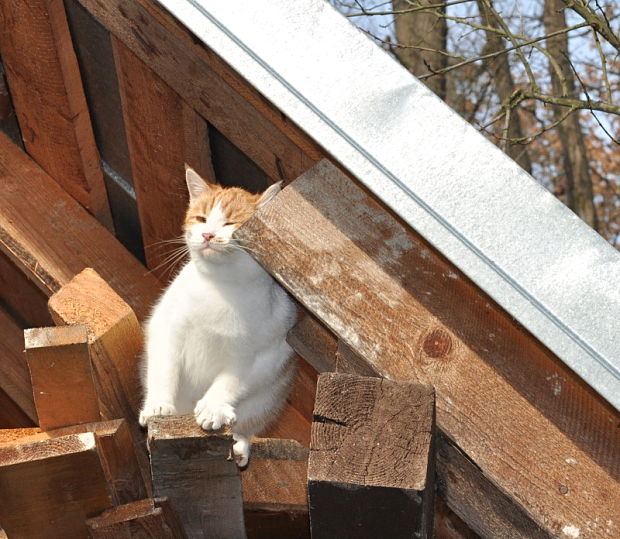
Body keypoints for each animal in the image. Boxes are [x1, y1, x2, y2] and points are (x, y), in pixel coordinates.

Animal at [140, 167, 296, 466]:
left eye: (231, 223)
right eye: (201, 218)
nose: (208, 235)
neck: (221, 288)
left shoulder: (270, 351)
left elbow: (233, 379)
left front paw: (213, 407)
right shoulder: (167, 323)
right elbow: (164, 364)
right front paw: (159, 404)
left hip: (269, 399)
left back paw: (239, 443)